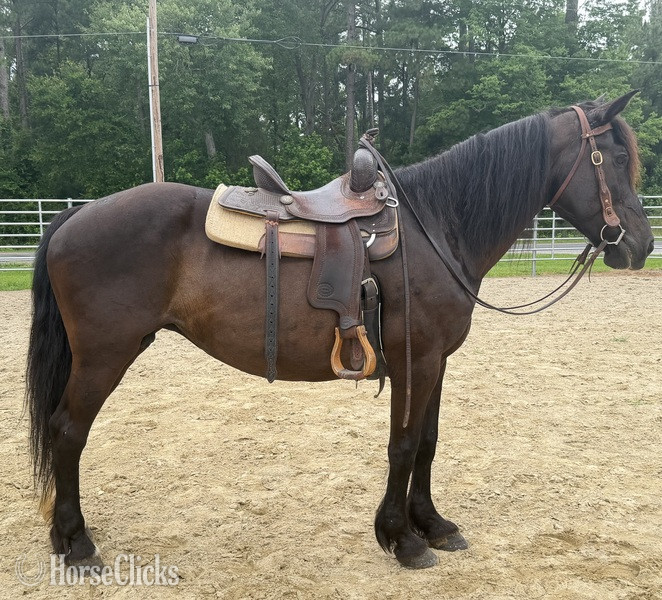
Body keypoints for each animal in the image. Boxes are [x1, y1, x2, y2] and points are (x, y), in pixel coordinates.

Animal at [25, 92, 654, 569]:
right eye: (614, 157)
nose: (642, 245)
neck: (436, 226)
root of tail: (74, 215)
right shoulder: (415, 359)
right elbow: (403, 444)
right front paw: (401, 539)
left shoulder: (437, 361)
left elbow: (428, 442)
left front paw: (433, 525)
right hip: (105, 356)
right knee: (67, 431)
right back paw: (76, 543)